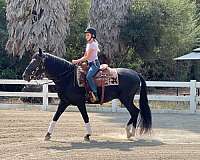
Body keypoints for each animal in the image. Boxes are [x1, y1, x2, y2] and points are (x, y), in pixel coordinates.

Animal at [22, 48, 151, 140]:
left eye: (36, 61)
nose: (24, 75)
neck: (68, 77)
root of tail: (135, 73)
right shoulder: (64, 102)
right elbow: (55, 116)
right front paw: (48, 134)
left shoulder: (80, 103)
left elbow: (85, 117)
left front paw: (88, 135)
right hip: (126, 99)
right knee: (135, 112)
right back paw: (130, 133)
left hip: (126, 99)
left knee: (135, 111)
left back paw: (130, 132)